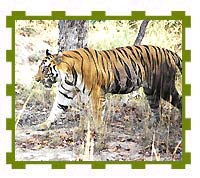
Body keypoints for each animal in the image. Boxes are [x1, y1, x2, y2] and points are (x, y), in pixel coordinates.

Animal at [35, 45, 182, 130]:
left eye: (44, 69)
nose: (36, 80)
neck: (67, 76)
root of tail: (169, 52)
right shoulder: (65, 92)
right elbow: (56, 109)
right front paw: (43, 125)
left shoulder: (96, 92)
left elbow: (97, 112)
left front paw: (98, 128)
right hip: (150, 91)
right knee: (156, 109)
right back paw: (151, 125)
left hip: (165, 87)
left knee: (179, 100)